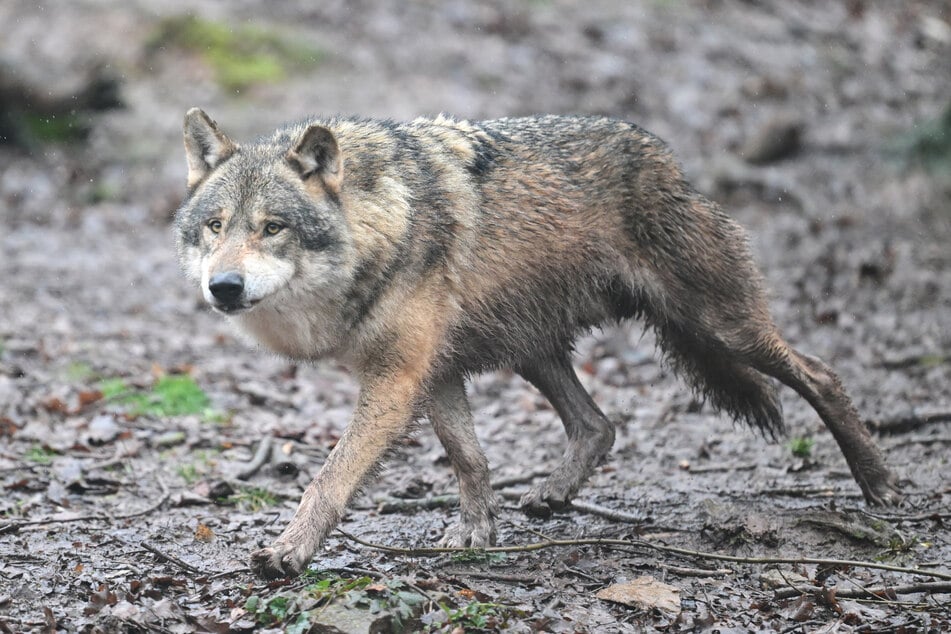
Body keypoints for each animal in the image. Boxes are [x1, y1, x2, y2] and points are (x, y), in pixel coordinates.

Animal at [175, 108, 900, 578]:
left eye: (272, 228)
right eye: (215, 226)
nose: (224, 287)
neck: (380, 224)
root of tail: (668, 160)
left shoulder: (396, 379)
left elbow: (328, 479)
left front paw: (288, 552)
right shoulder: (434, 372)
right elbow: (469, 458)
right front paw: (476, 532)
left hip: (721, 327)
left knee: (821, 374)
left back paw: (879, 485)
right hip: (532, 350)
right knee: (599, 425)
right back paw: (552, 494)